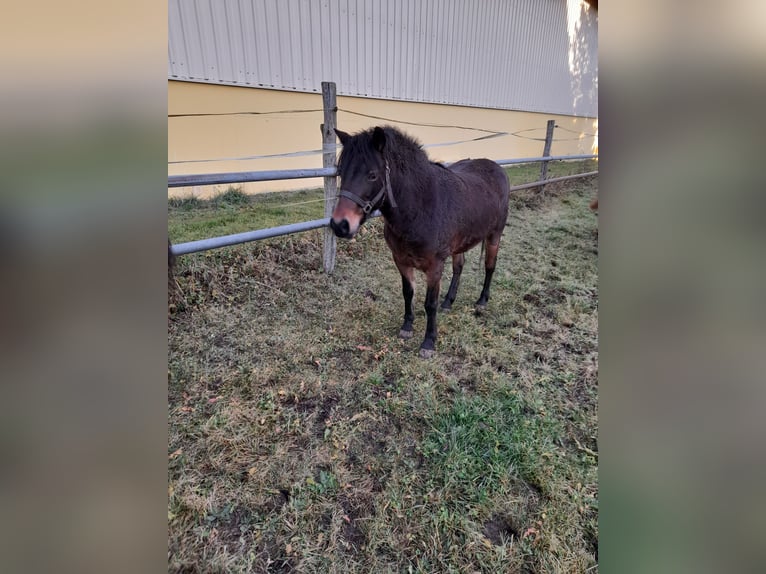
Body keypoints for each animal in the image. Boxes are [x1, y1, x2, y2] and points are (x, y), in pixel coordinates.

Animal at [330, 126, 510, 358]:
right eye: (341, 172)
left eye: (372, 175)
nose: (340, 225)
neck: (420, 208)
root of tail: (496, 168)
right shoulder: (401, 260)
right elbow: (408, 293)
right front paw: (407, 327)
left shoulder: (435, 266)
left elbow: (430, 303)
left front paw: (428, 342)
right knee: (459, 267)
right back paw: (448, 302)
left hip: (494, 235)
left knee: (490, 267)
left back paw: (481, 301)